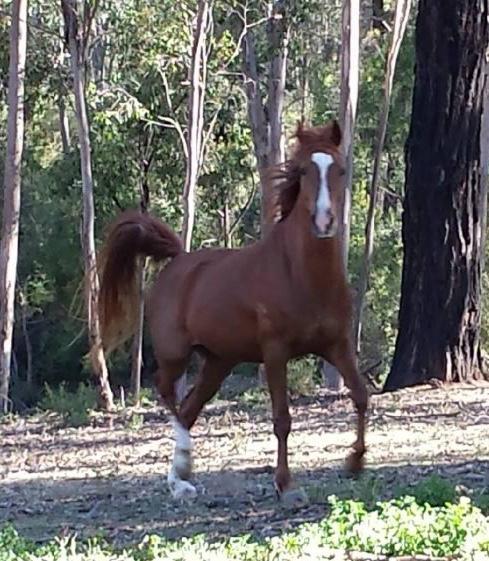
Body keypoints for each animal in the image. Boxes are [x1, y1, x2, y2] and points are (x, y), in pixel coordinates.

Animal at [98, 120, 366, 506]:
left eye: (341, 169)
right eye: (303, 170)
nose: (324, 221)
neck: (302, 275)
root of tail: (179, 260)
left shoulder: (337, 345)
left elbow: (361, 395)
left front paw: (355, 460)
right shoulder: (275, 353)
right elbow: (282, 418)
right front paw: (286, 485)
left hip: (218, 362)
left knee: (189, 408)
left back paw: (179, 481)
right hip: (175, 354)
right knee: (167, 393)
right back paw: (185, 463)